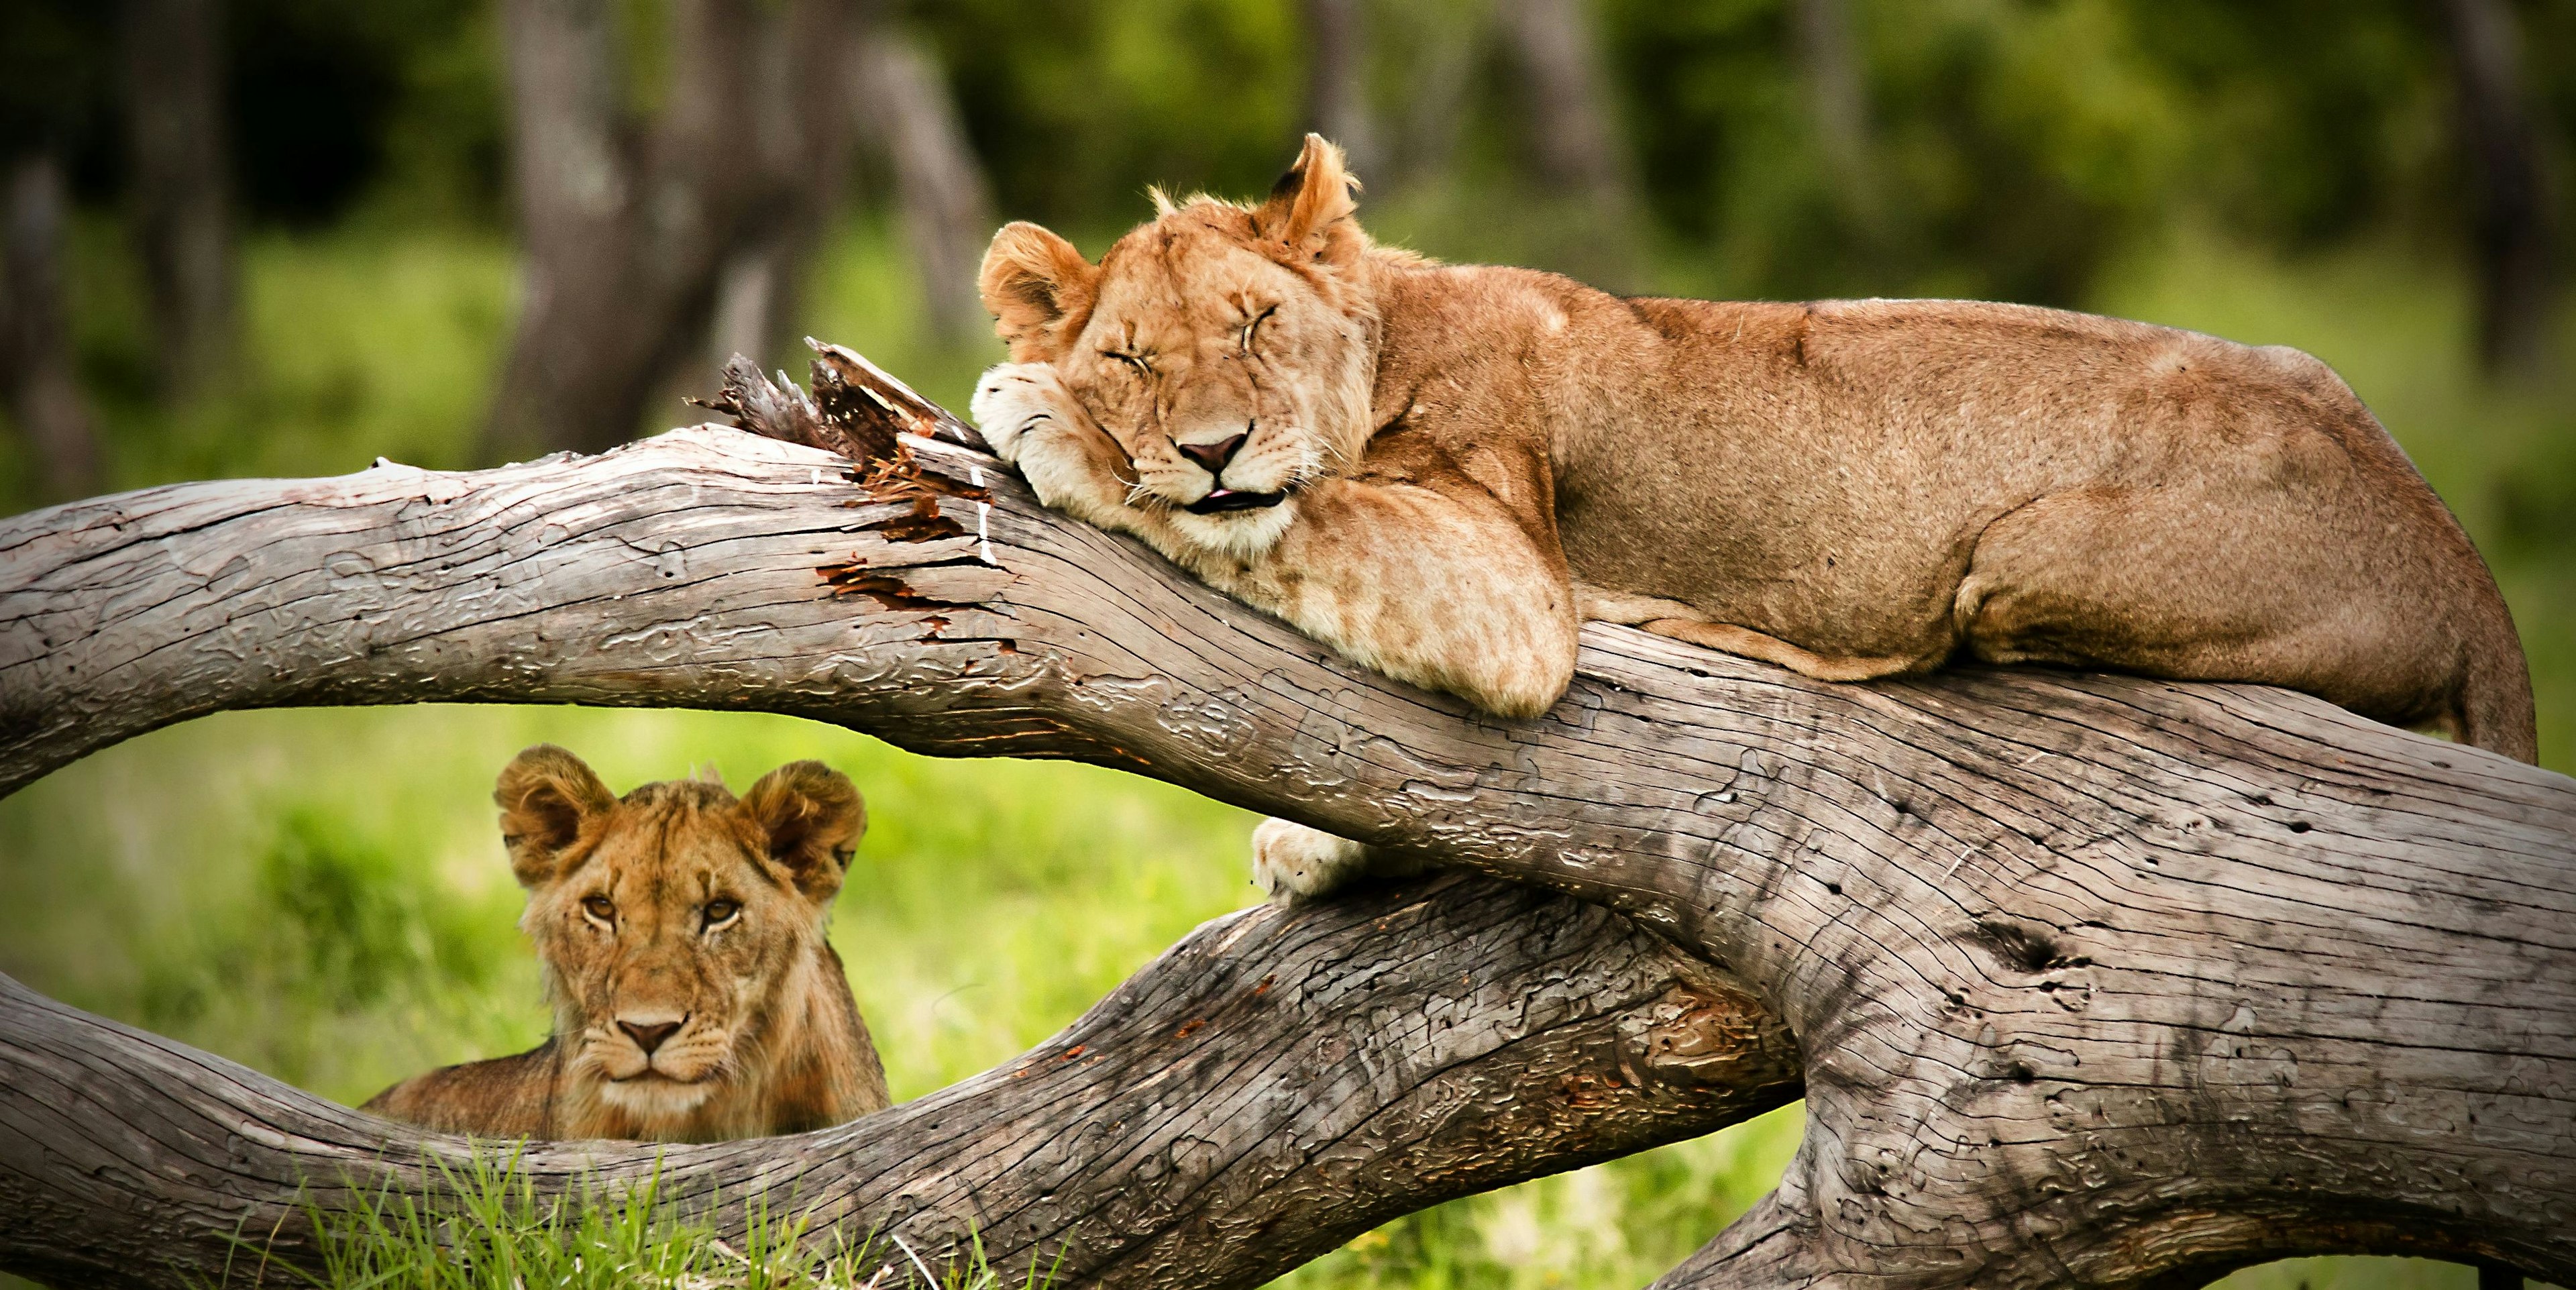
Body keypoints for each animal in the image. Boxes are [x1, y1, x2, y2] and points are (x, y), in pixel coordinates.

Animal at [968, 130, 2534, 896]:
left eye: (1254, 324)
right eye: (1133, 357)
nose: (1213, 446)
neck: (1391, 329)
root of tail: (2465, 568)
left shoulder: (1511, 589)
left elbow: (1310, 523)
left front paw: (1042, 420)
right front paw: (1316, 848)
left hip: (2016, 560)